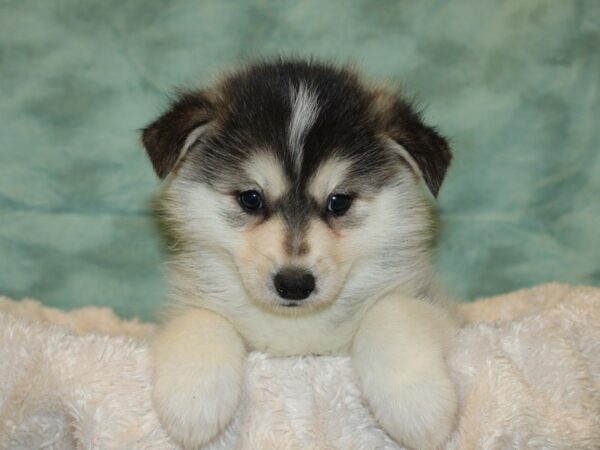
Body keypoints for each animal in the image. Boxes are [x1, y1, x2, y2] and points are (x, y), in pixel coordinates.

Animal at [142, 59, 460, 450]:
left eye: (339, 201)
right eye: (251, 198)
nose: (294, 284)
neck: (295, 330)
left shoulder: (436, 306)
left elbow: (393, 312)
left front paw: (418, 404)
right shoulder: (185, 303)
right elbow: (200, 319)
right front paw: (193, 401)